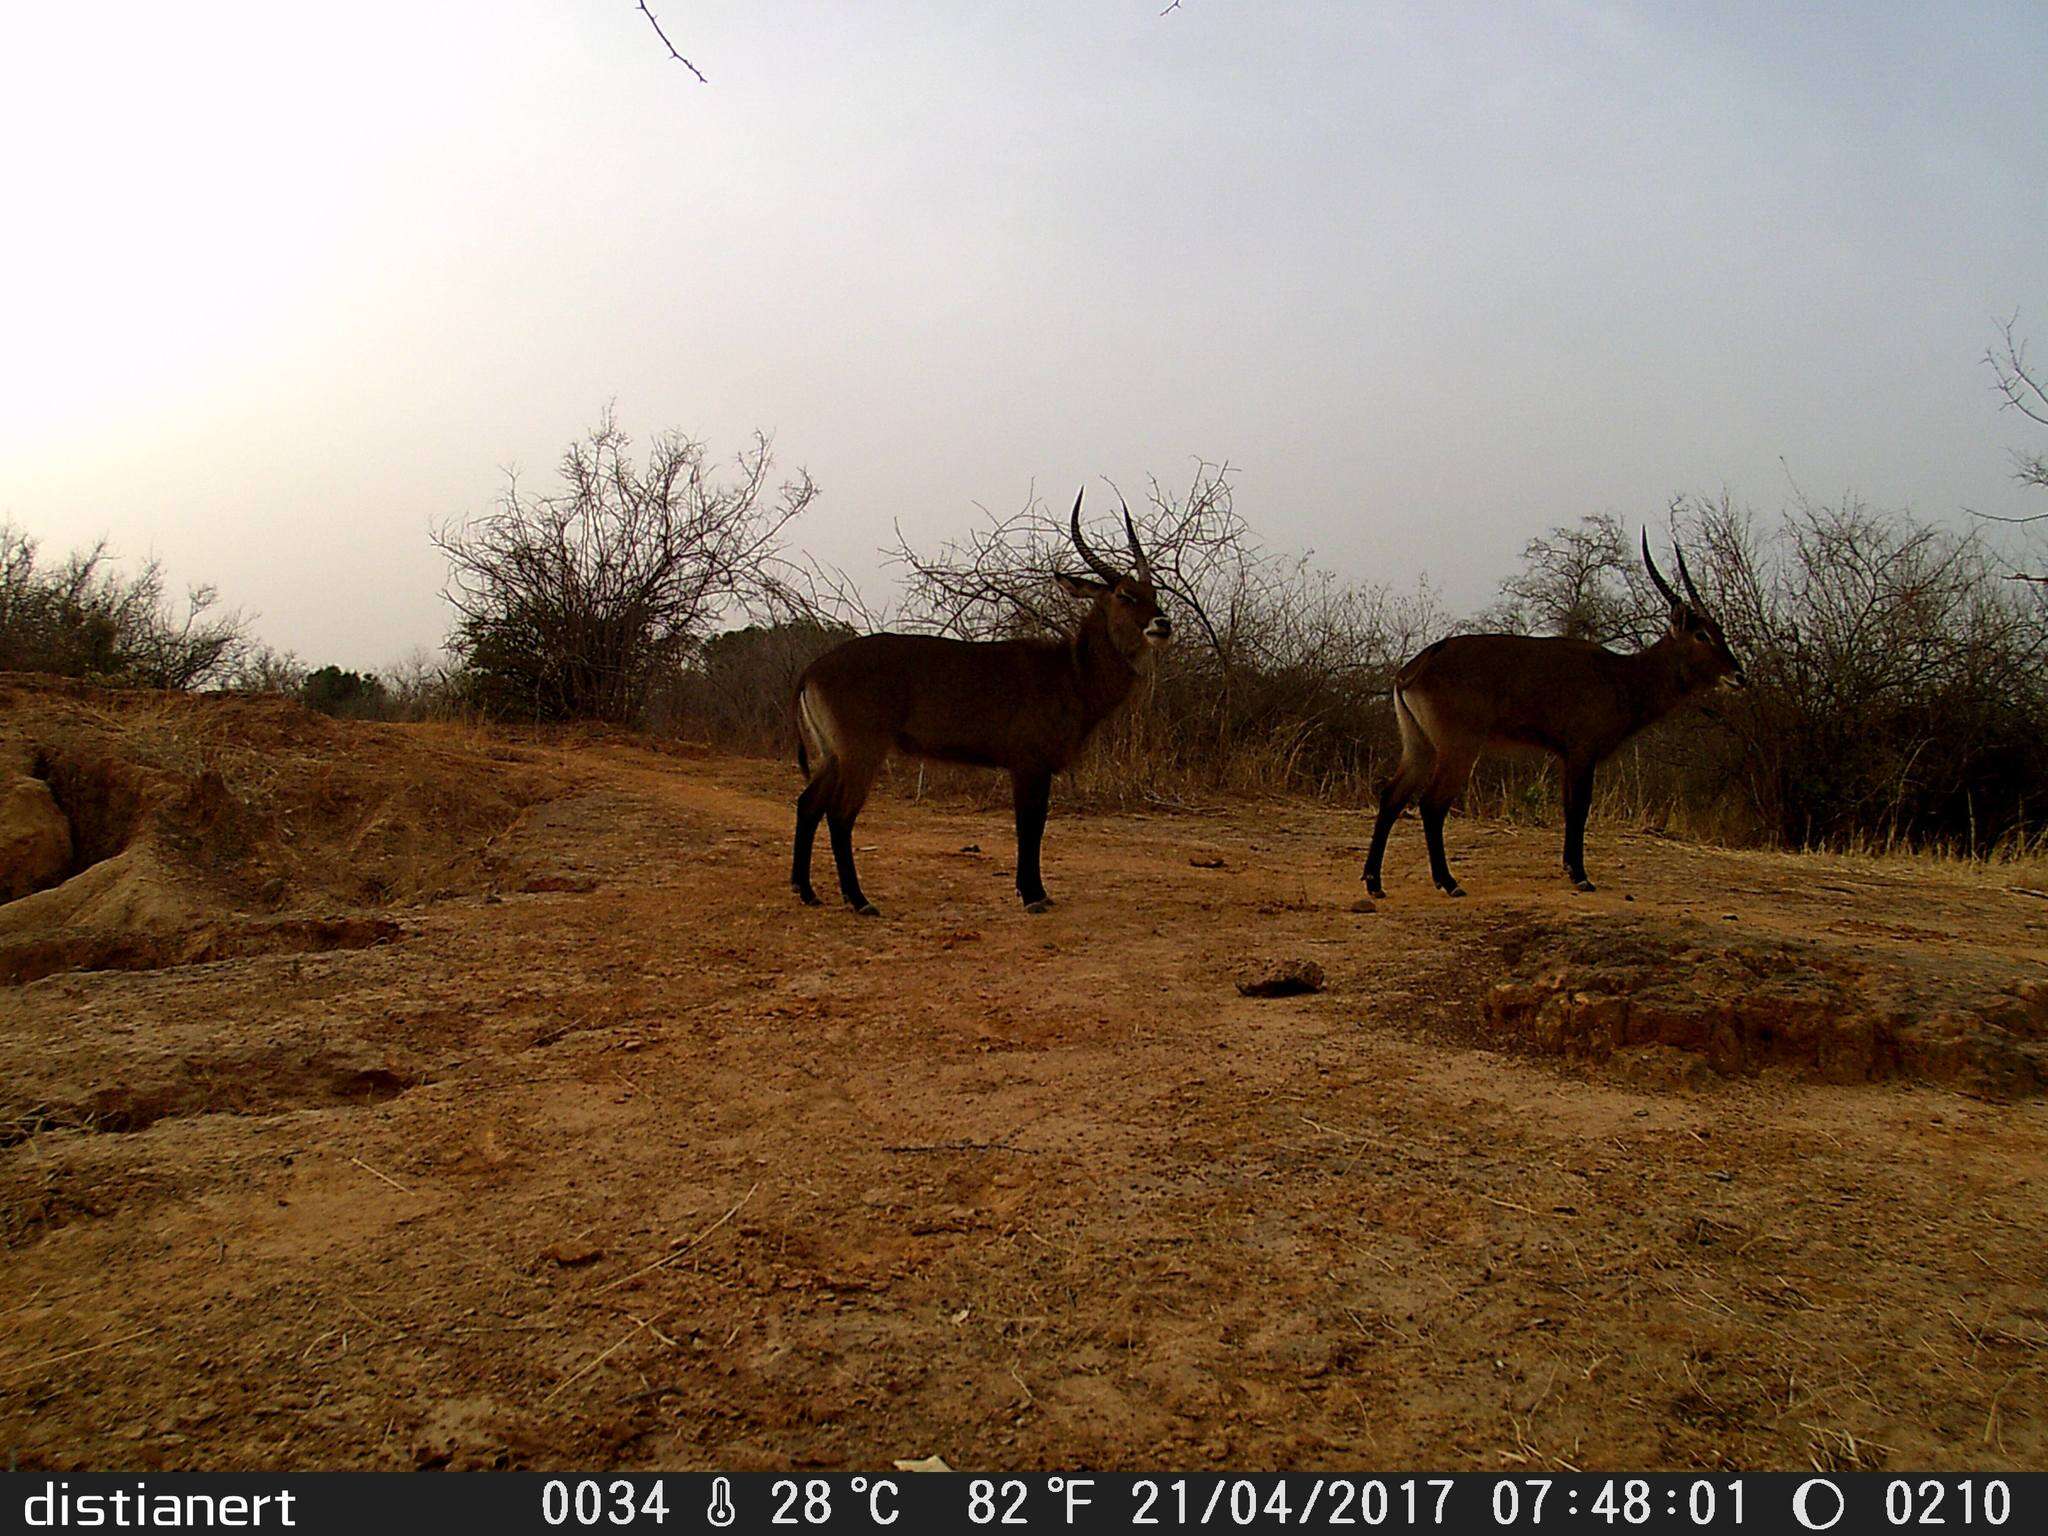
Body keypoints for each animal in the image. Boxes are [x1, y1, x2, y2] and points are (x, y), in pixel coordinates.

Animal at [786, 495, 1171, 913]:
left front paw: (1035, 892)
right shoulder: (1028, 763)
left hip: (832, 754)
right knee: (839, 814)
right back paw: (859, 901)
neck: (1072, 671)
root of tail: (812, 669)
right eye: (1125, 595)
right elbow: (1029, 826)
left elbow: (1035, 825)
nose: (1162, 624)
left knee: (808, 804)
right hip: (860, 752)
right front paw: (1033, 895)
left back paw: (806, 892)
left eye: (1154, 594)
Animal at [1359, 536, 1744, 901]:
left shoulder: (1564, 756)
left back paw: (1375, 883)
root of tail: (1416, 667)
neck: (1623, 675)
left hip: (1419, 746)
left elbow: (1567, 806)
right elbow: (1579, 807)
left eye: (1719, 631)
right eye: (1702, 634)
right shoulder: (1582, 753)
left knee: (1392, 797)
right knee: (1431, 803)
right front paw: (1581, 876)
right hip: (1458, 750)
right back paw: (1449, 883)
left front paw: (1570, 868)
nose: (1738, 675)